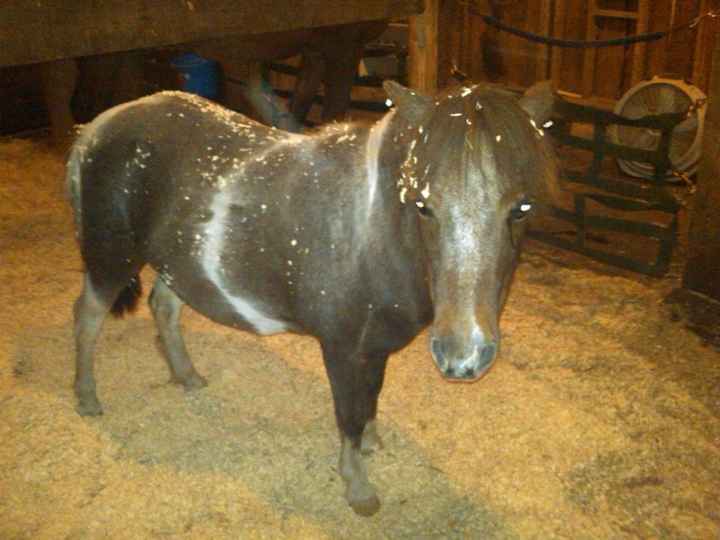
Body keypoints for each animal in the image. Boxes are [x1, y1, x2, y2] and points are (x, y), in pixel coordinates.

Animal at [67, 79, 557, 516]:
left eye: (523, 208)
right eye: (423, 204)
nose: (464, 356)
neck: (371, 230)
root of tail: (96, 127)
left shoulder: (375, 345)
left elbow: (371, 396)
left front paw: (373, 444)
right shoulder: (341, 347)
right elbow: (348, 414)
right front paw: (358, 488)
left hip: (178, 261)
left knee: (163, 308)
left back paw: (187, 377)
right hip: (112, 258)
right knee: (88, 316)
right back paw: (87, 399)